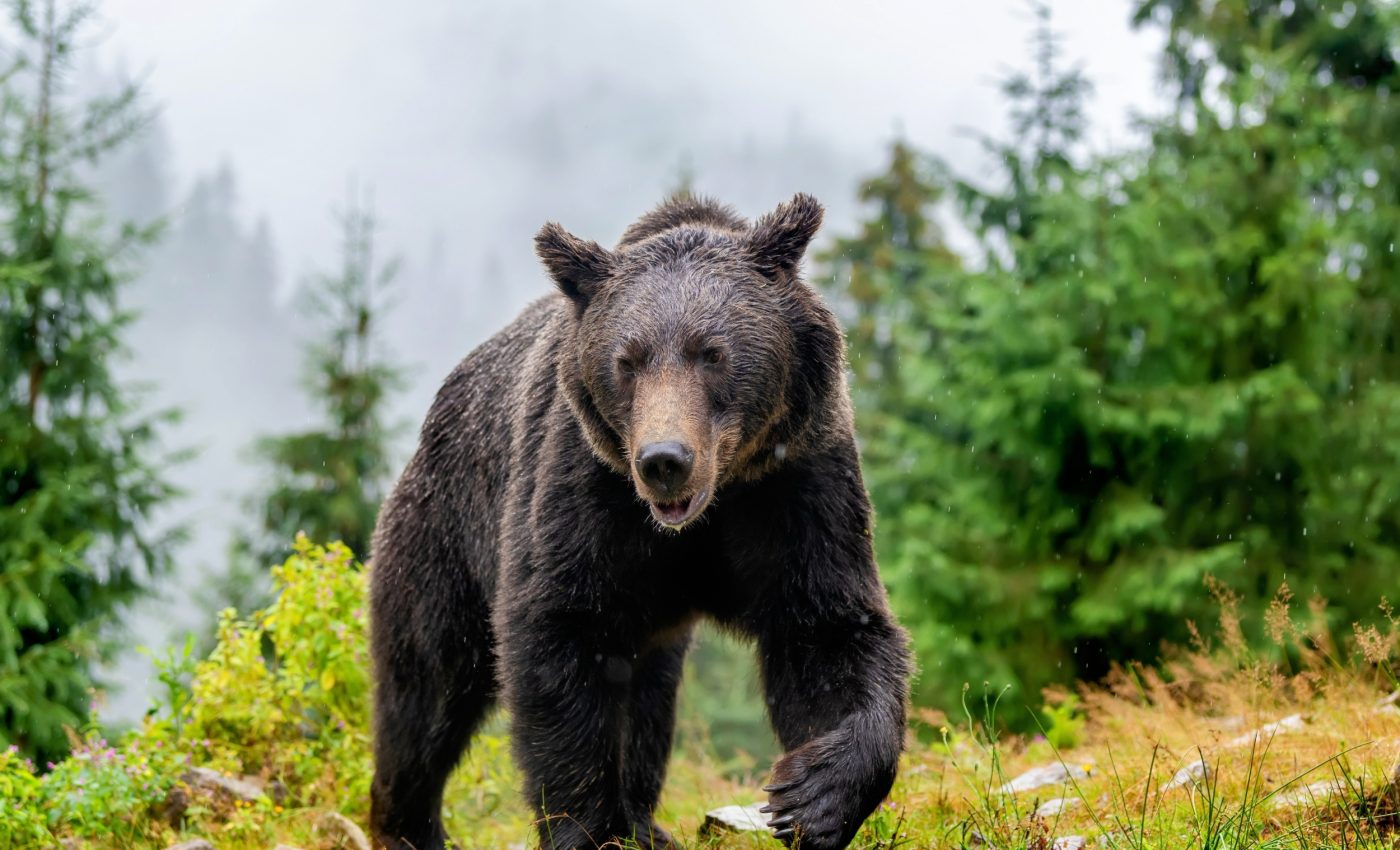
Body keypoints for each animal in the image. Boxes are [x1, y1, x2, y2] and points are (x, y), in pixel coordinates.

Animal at [367, 193, 912, 850]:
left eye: (712, 353)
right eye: (627, 361)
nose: (664, 461)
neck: (704, 514)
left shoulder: (795, 487)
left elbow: (826, 631)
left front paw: (813, 796)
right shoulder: (583, 494)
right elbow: (561, 638)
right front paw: (590, 829)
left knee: (649, 701)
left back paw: (646, 822)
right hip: (446, 533)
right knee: (428, 687)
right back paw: (406, 823)